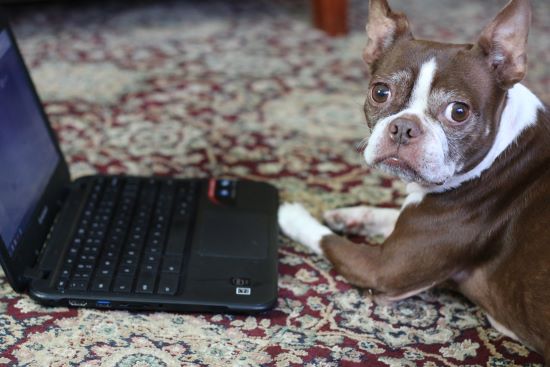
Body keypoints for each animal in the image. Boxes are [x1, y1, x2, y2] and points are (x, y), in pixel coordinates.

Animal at [280, 0, 550, 362]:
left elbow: (325, 240)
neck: (501, 153)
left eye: (459, 112)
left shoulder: (384, 268)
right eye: (380, 92)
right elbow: (389, 214)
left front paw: (289, 213)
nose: (404, 127)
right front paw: (351, 215)